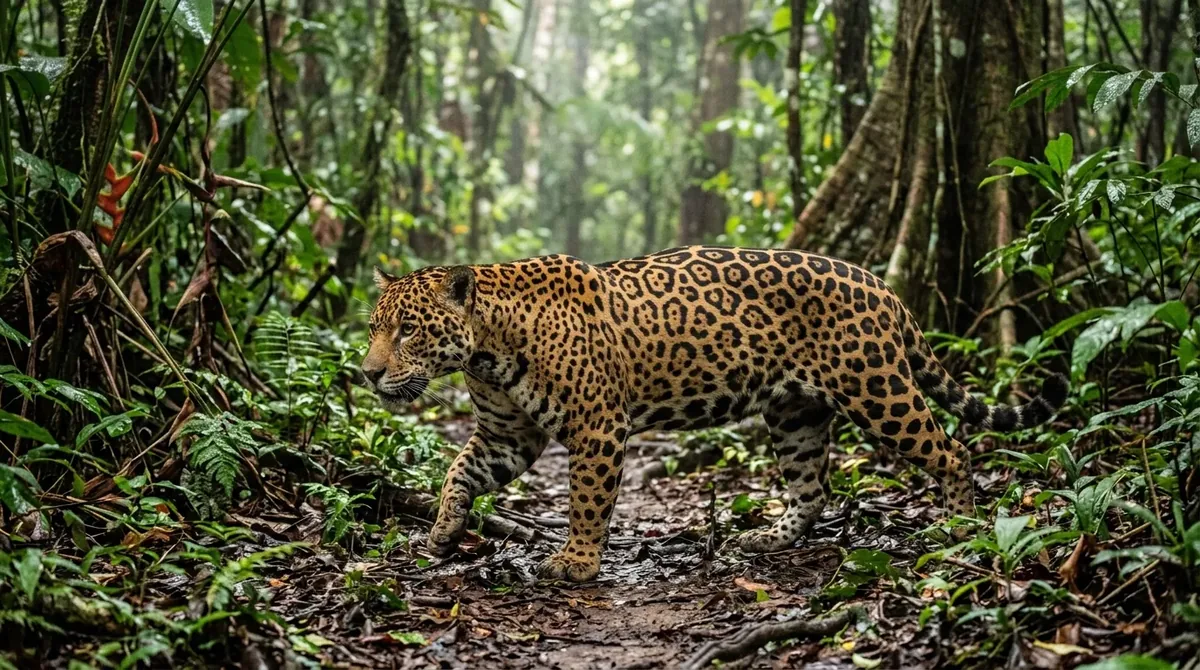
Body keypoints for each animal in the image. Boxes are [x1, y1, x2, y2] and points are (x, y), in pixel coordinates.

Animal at [361, 246, 1068, 582]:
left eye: (407, 330)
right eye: (374, 328)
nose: (367, 373)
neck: (487, 348)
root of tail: (883, 286)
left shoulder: (597, 426)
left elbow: (587, 500)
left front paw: (577, 563)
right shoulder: (507, 435)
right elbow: (458, 473)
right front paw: (442, 535)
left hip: (877, 389)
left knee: (952, 449)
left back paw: (960, 526)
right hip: (795, 411)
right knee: (812, 484)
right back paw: (770, 539)